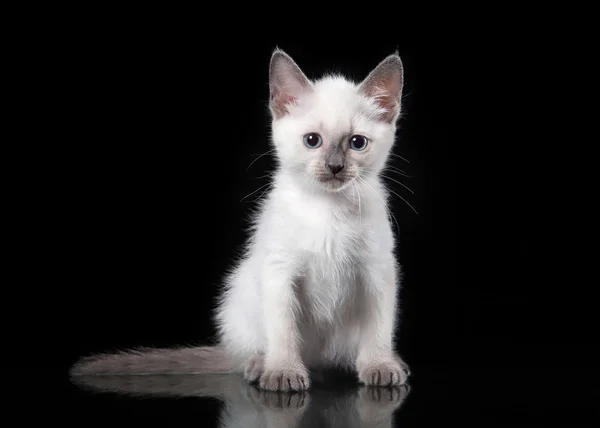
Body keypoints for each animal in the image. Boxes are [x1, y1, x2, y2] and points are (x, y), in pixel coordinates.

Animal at [68, 47, 410, 392]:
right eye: (312, 140)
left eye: (357, 143)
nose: (335, 167)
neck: (329, 209)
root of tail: (321, 361)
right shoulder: (280, 272)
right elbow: (283, 330)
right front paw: (283, 372)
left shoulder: (378, 271)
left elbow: (379, 328)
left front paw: (380, 366)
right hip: (239, 292)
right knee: (250, 349)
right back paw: (260, 366)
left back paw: (390, 363)